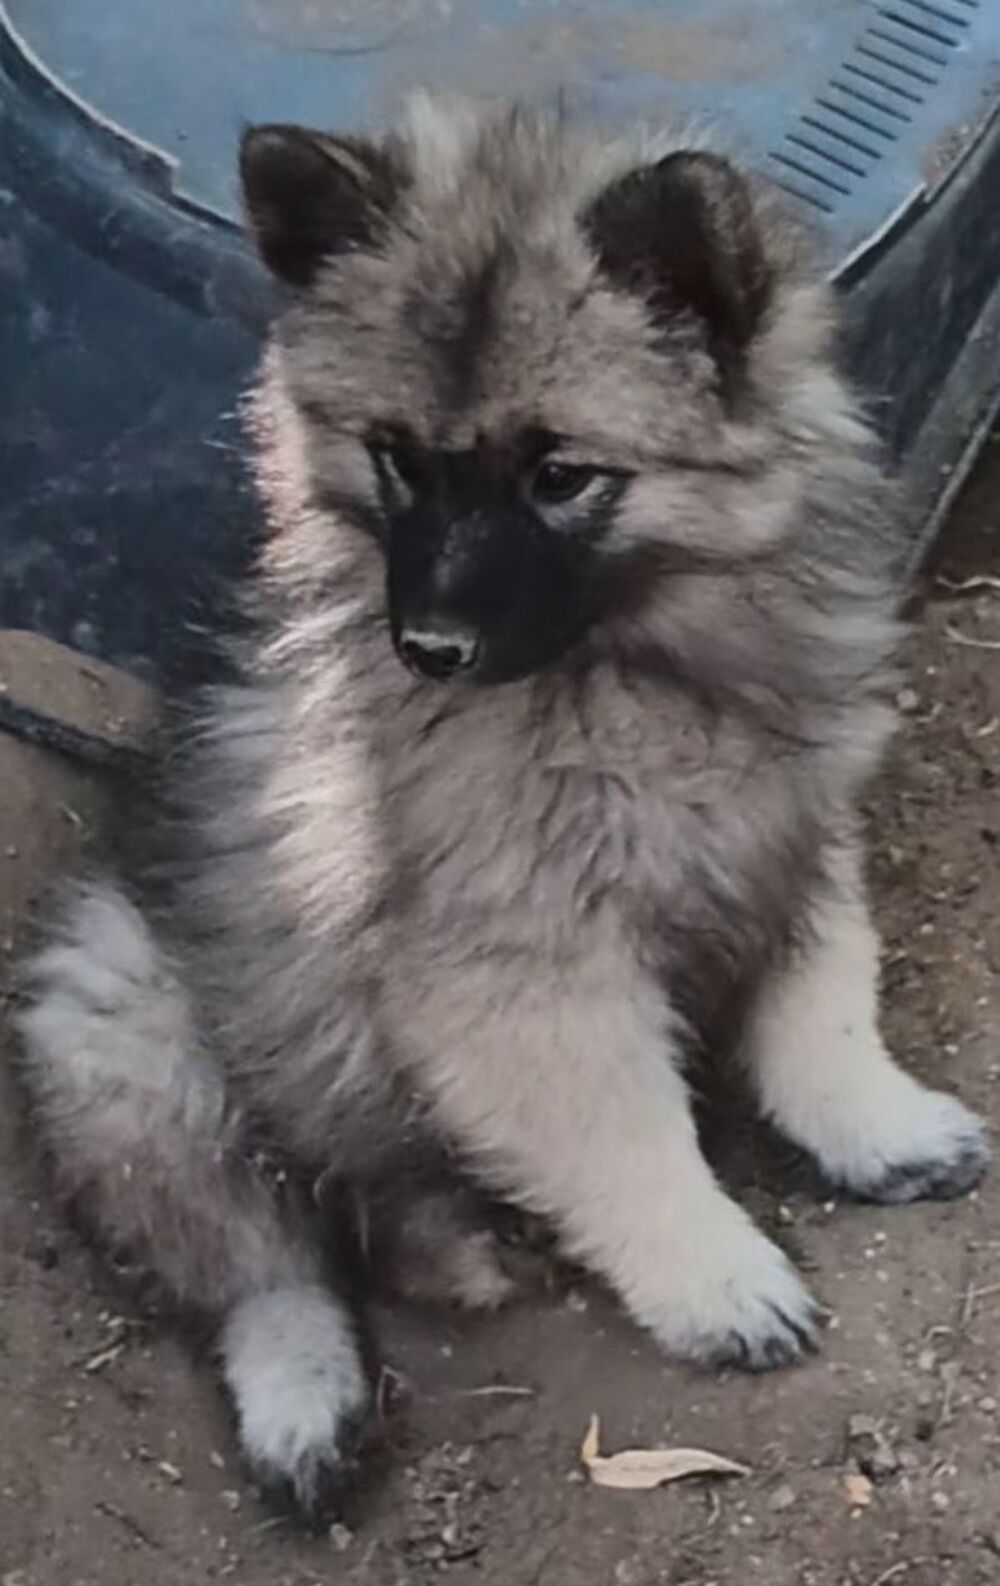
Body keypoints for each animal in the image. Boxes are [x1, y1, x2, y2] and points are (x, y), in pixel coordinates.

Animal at [16, 98, 988, 1516]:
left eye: (560, 473)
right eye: (395, 459)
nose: (429, 646)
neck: (641, 665)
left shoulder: (797, 842)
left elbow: (823, 1015)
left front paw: (877, 1129)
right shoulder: (525, 970)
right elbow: (631, 1134)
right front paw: (717, 1274)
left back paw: (461, 1241)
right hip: (125, 1033)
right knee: (261, 1262)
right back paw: (311, 1395)